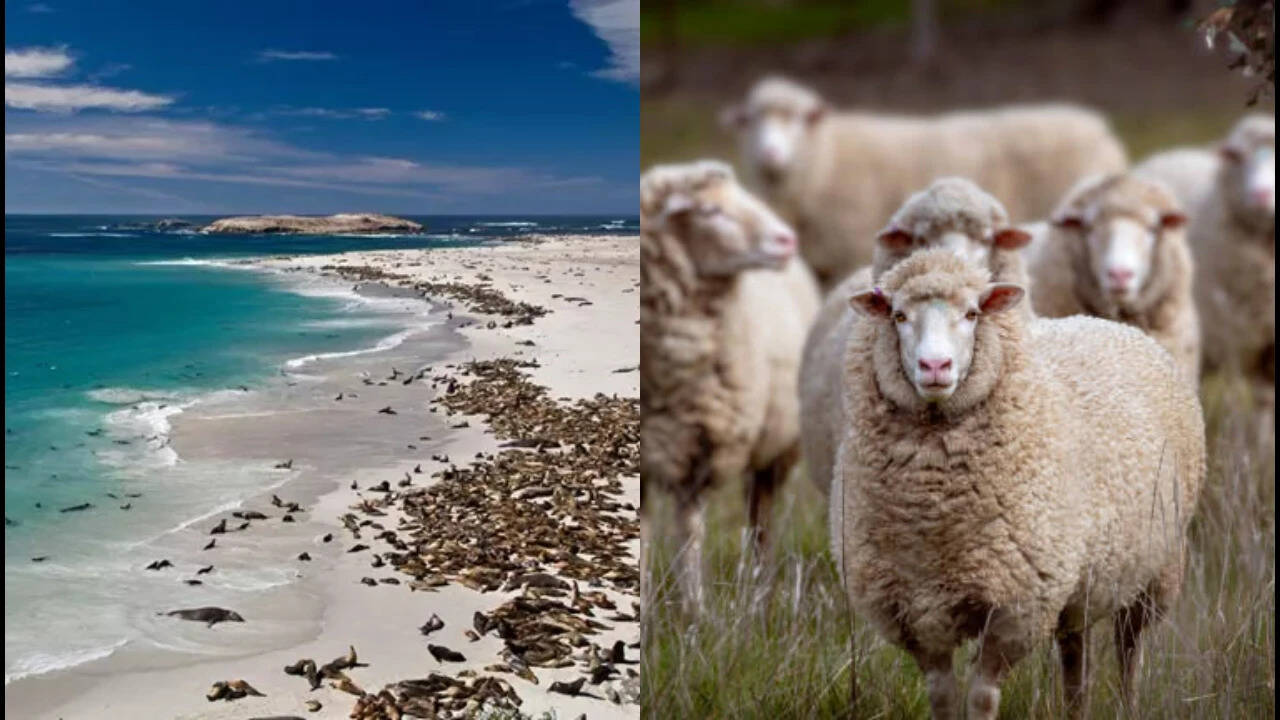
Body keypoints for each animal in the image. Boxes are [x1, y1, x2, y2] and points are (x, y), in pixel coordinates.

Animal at [639, 160, 820, 607]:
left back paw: (760, 588)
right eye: (710, 211)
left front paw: (694, 608)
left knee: (761, 519)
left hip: (776, 448)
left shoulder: (700, 448)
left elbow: (690, 534)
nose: (786, 239)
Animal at [720, 75, 1128, 289]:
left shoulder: (844, 254)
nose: (770, 153)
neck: (826, 158)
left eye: (798, 120)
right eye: (752, 121)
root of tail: (1099, 127)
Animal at [832, 249, 1204, 719]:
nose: (935, 366)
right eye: (898, 315)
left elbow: (982, 696)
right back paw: (1075, 709)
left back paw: (1128, 705)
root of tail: (1106, 323)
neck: (935, 514)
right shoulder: (915, 610)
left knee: (1129, 650)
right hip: (1079, 581)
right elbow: (942, 696)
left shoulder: (1016, 607)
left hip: (1155, 569)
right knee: (1076, 655)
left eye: (972, 313)